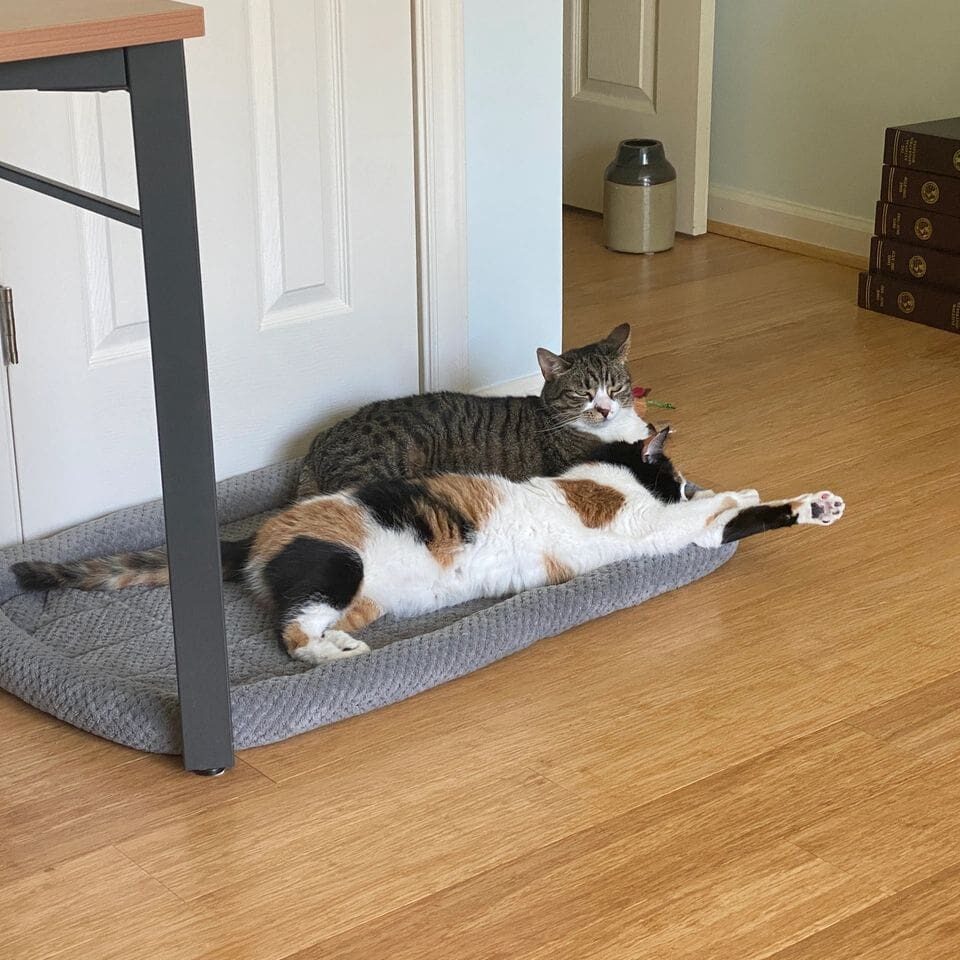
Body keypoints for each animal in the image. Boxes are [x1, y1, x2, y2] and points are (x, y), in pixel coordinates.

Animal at [11, 430, 844, 664]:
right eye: (669, 468)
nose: (682, 478)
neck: (600, 475)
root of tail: (255, 532)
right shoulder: (646, 528)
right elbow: (719, 515)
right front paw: (737, 493)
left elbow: (740, 519)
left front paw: (820, 505)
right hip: (339, 563)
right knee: (289, 633)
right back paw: (334, 660)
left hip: (363, 597)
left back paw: (346, 645)